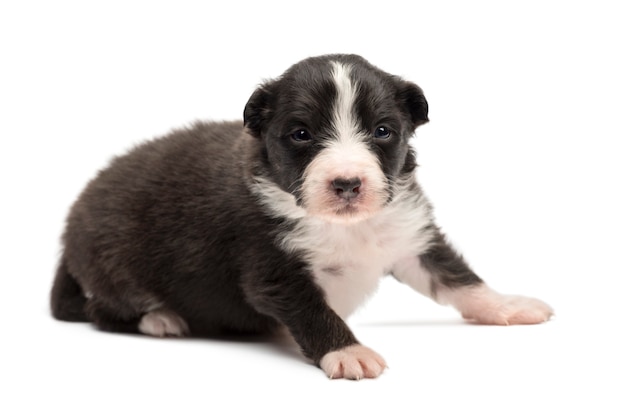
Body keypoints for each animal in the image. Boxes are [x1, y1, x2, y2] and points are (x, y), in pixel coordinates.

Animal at [52, 52, 552, 378]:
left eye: (383, 130)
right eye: (301, 134)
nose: (347, 184)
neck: (345, 225)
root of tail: (72, 219)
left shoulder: (409, 235)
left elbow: (458, 278)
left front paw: (507, 304)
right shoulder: (273, 266)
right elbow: (313, 309)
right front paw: (347, 351)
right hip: (111, 263)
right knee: (101, 309)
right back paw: (159, 319)